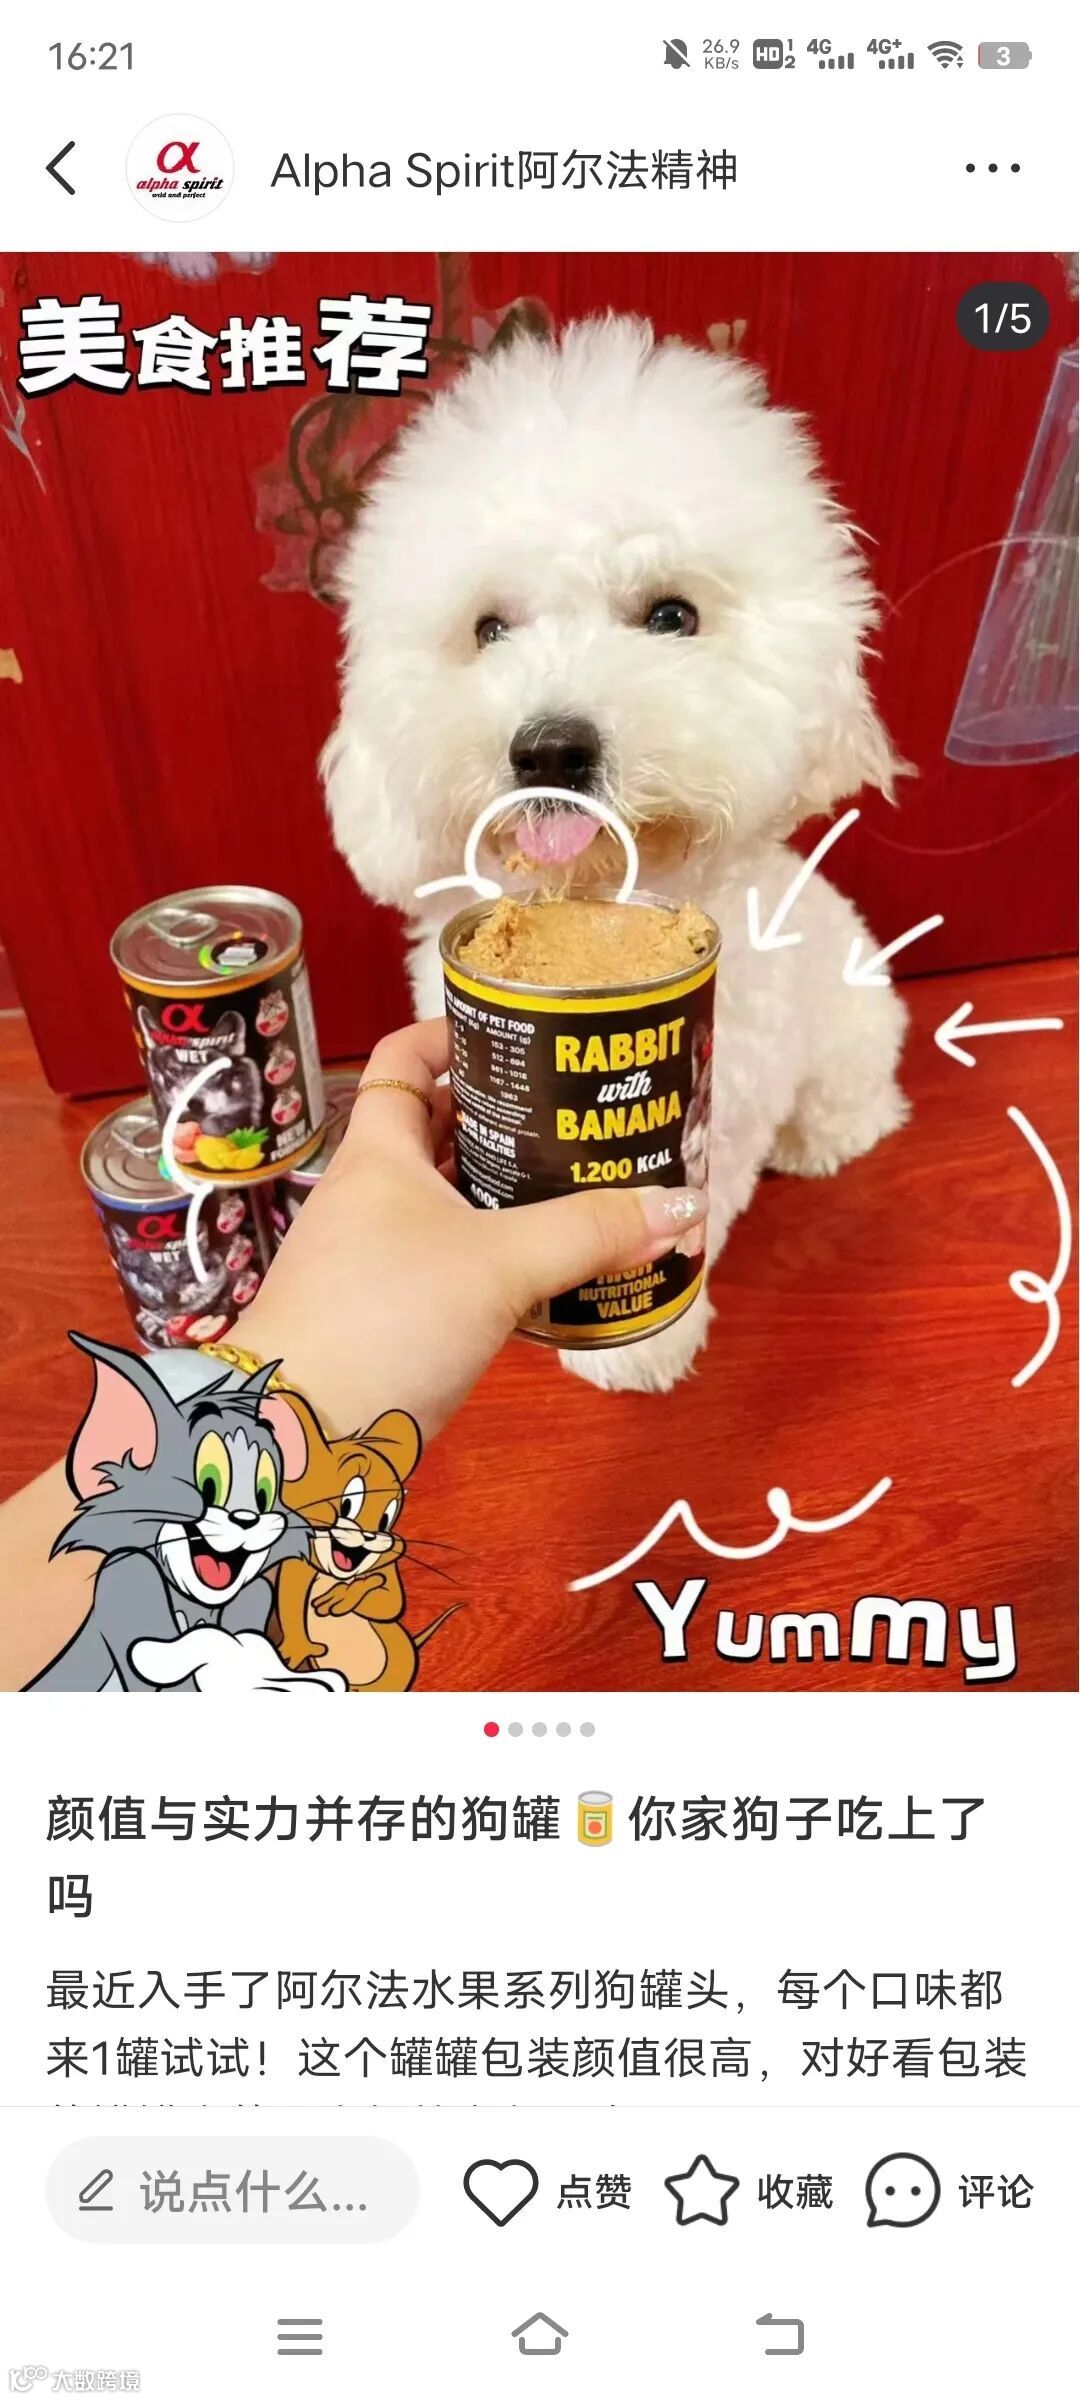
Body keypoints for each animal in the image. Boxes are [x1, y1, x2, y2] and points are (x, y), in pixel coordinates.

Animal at [266, 1393, 456, 1691]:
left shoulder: (387, 1568)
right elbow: (290, 1602)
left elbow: (389, 1601)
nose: (370, 1536)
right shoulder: (297, 1569)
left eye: (387, 1519)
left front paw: (342, 1597)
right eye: (347, 1504)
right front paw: (296, 1648)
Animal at [321, 314, 908, 1392]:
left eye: (672, 615)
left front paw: (644, 1340)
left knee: (857, 1097)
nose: (550, 748)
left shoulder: (725, 1105)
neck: (596, 893)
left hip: (852, 1029)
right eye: (489, 628)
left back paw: (830, 1139)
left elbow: (699, 1198)